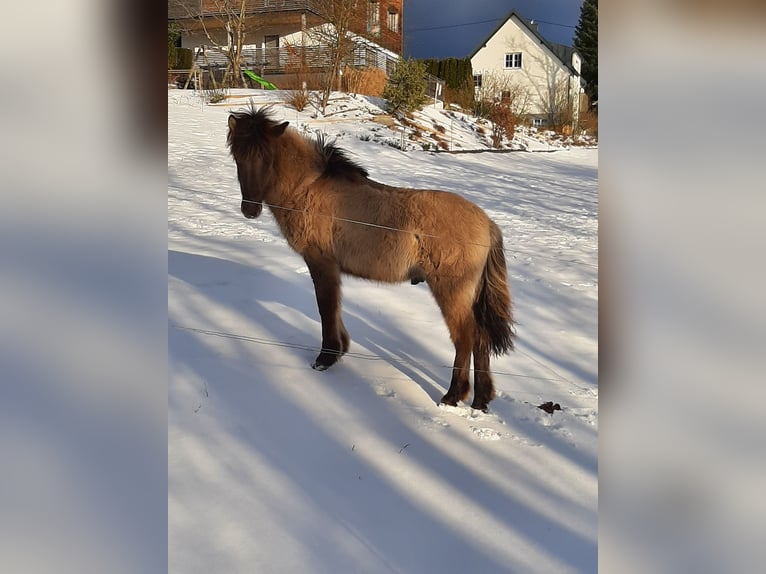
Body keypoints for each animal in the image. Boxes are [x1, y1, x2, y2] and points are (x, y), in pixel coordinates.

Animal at [228, 107, 516, 414]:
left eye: (267, 158)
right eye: (238, 156)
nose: (250, 210)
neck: (308, 189)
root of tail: (487, 223)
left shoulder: (321, 263)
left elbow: (326, 308)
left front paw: (326, 357)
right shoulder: (332, 269)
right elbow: (335, 308)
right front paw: (339, 349)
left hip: (451, 291)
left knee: (465, 337)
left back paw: (453, 395)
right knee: (481, 338)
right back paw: (481, 400)